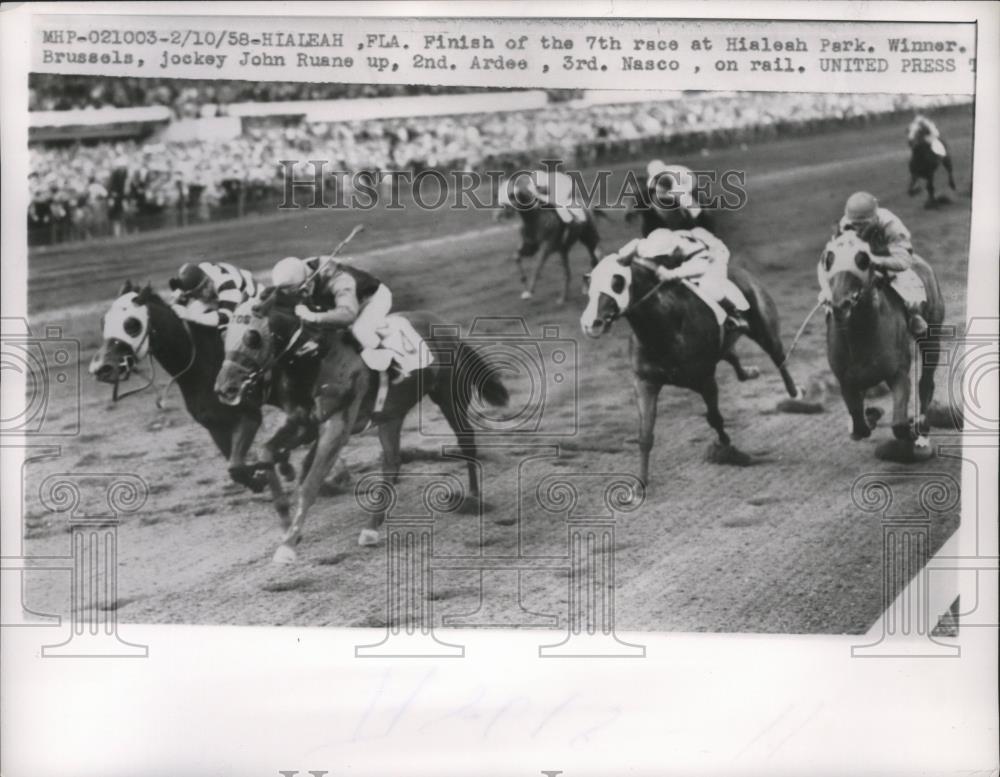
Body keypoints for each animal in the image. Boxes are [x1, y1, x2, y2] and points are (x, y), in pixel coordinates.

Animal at [88, 282, 288, 500]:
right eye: (103, 322)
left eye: (132, 324)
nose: (102, 369)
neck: (204, 361)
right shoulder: (214, 424)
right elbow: (235, 468)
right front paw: (260, 476)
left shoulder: (249, 416)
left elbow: (236, 466)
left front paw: (266, 472)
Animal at [211, 298, 508, 564]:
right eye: (224, 338)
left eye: (252, 337)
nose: (224, 388)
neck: (314, 357)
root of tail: (447, 327)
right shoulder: (304, 422)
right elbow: (266, 452)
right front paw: (285, 521)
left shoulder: (337, 425)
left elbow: (310, 483)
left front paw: (288, 544)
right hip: (391, 415)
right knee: (392, 461)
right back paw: (371, 528)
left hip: (448, 397)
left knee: (467, 443)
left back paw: (472, 499)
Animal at [580, 255, 804, 484]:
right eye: (590, 286)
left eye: (617, 283)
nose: (591, 323)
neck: (664, 328)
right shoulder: (645, 382)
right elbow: (645, 436)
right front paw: (641, 481)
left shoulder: (706, 379)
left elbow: (714, 418)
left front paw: (725, 445)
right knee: (732, 355)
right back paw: (749, 372)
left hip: (764, 330)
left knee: (778, 356)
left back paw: (794, 392)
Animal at [820, 230, 944, 460]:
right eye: (829, 260)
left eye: (862, 260)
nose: (840, 304)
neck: (860, 335)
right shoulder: (846, 381)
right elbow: (859, 425)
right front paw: (870, 415)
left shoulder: (898, 373)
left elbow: (899, 424)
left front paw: (912, 430)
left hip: (932, 337)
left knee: (926, 384)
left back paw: (922, 433)